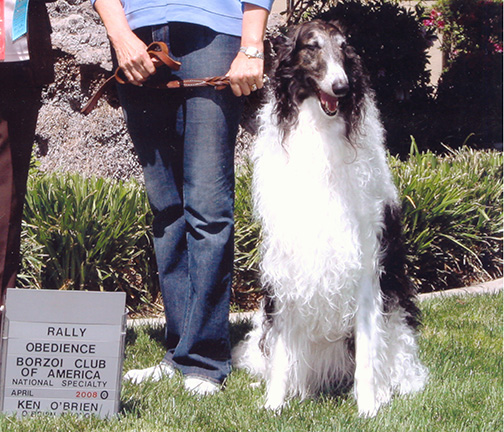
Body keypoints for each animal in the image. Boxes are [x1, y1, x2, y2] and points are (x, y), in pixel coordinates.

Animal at [232, 21, 426, 418]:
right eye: (312, 46)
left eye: (344, 48)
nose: (341, 87)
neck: (319, 132)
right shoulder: (288, 267)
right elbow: (280, 357)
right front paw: (273, 405)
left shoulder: (365, 266)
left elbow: (367, 356)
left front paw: (367, 408)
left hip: (395, 319)